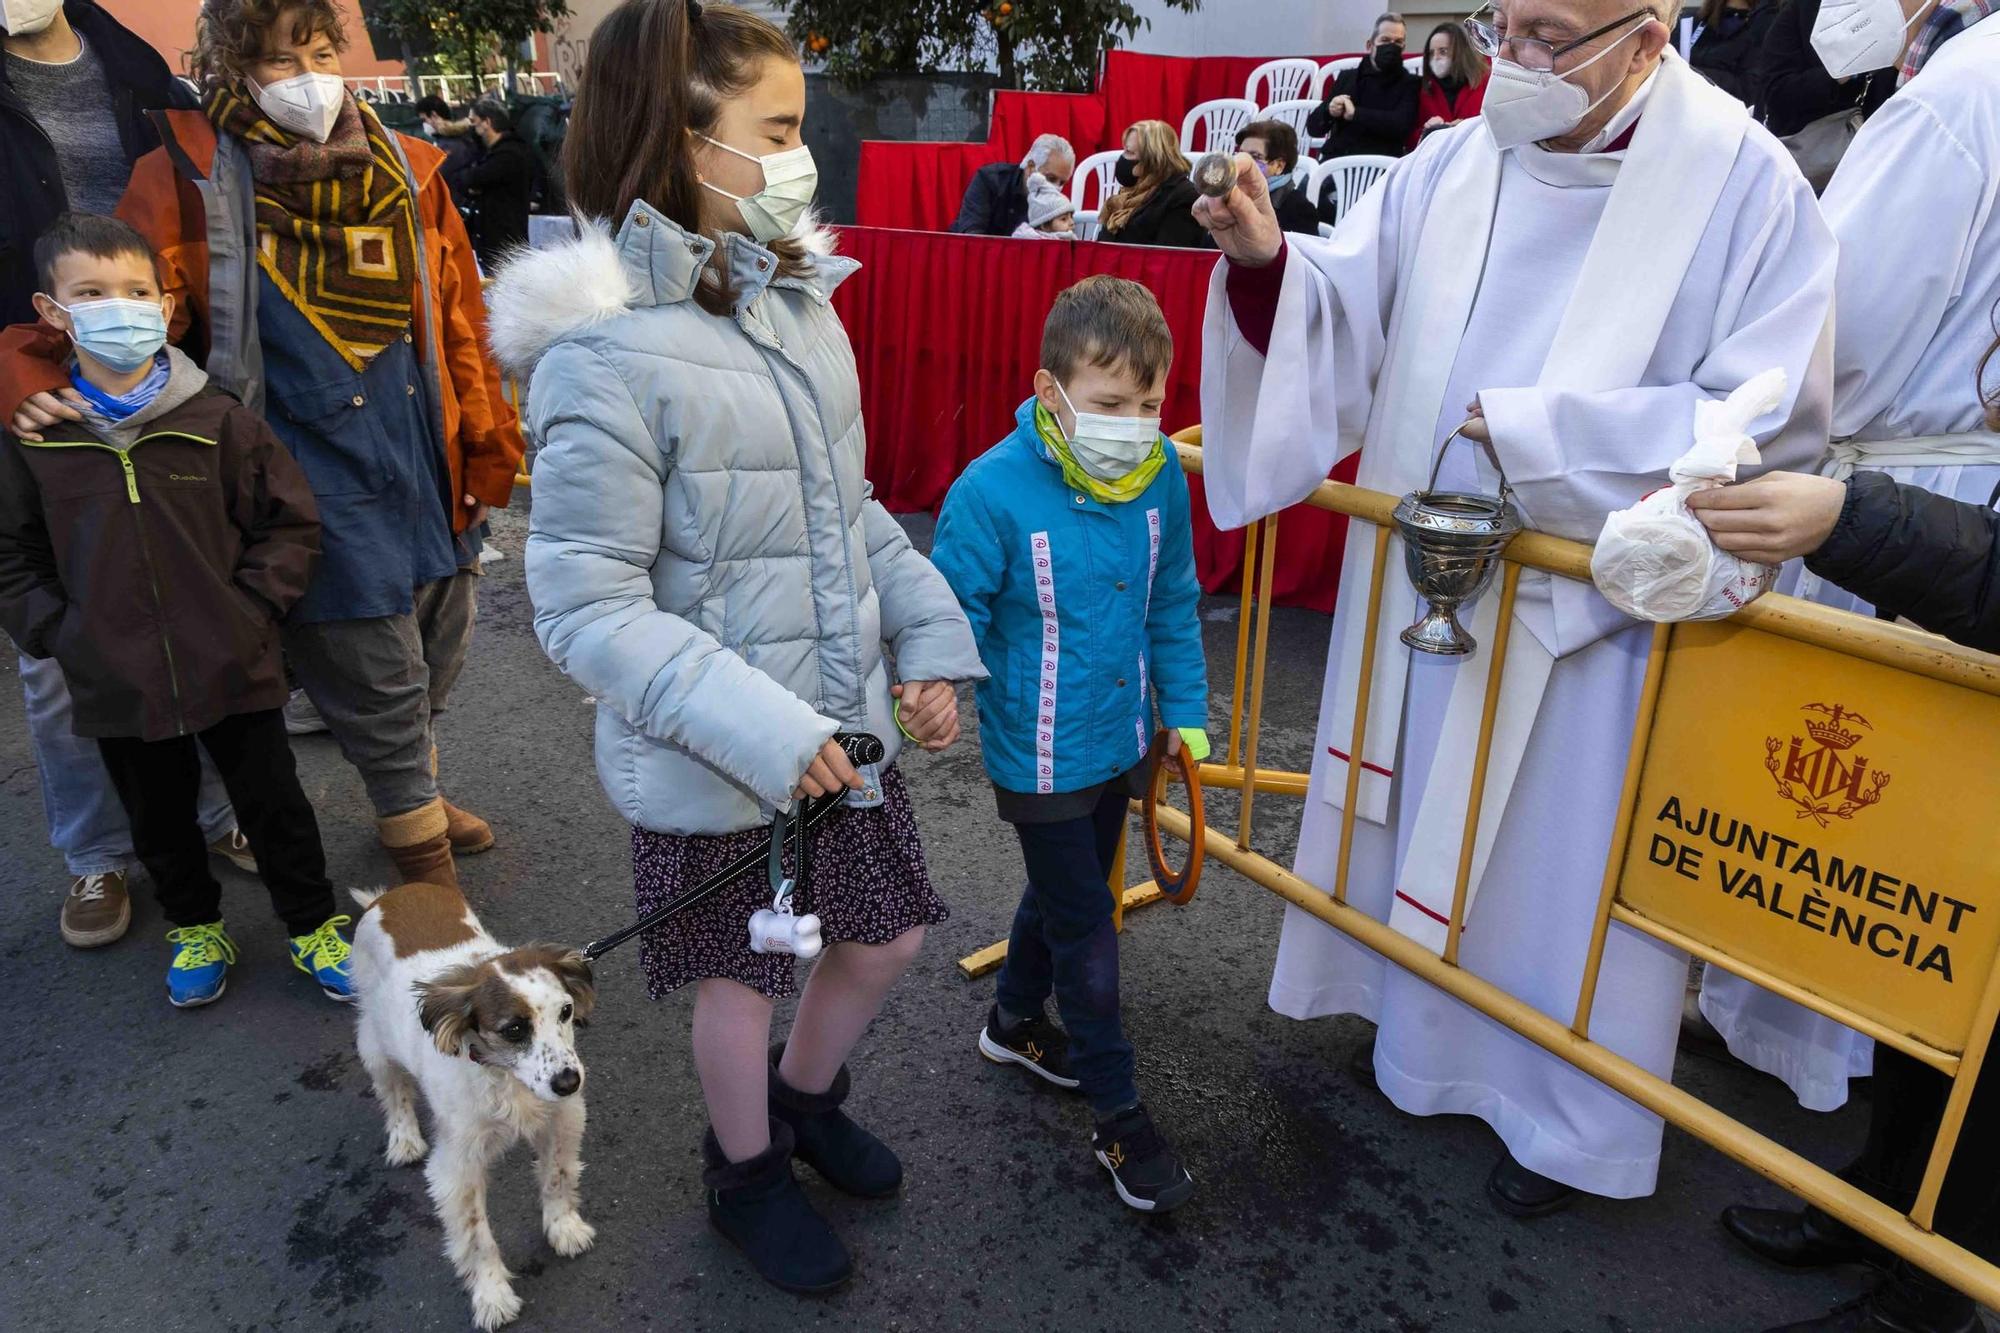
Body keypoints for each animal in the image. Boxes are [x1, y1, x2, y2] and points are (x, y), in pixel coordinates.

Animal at [350, 880, 592, 1328]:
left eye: (566, 1012)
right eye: (514, 1030)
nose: (570, 1082)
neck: (506, 1079)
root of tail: (389, 895)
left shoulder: (562, 1117)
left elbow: (557, 1175)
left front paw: (563, 1227)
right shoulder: (456, 1168)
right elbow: (478, 1237)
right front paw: (492, 1295)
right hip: (373, 1042)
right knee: (393, 1091)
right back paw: (404, 1139)